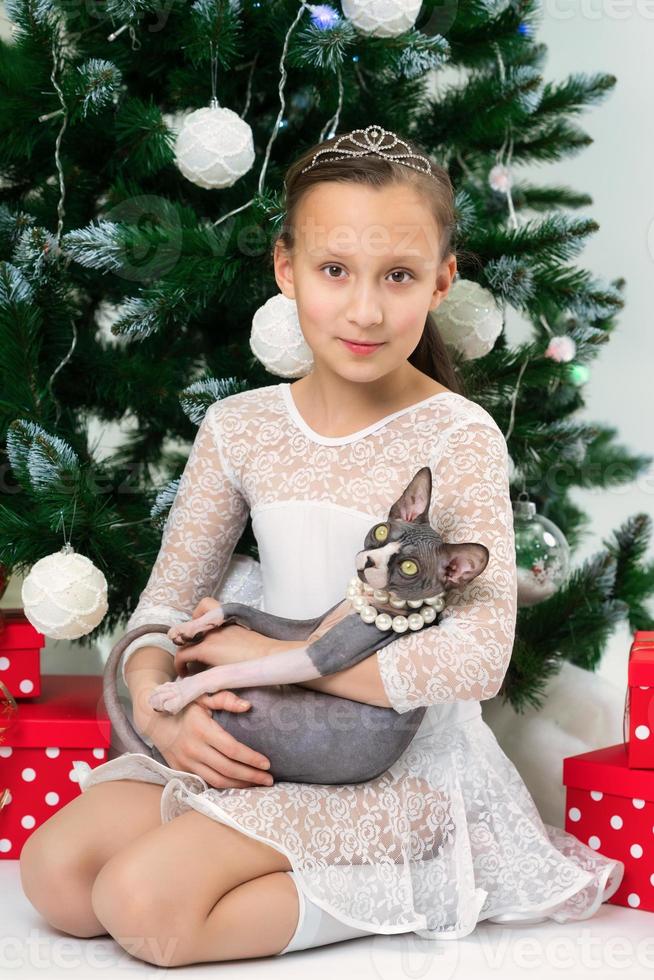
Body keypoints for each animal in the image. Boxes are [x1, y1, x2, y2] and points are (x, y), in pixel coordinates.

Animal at [104, 470, 492, 784]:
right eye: (381, 532)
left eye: (409, 567)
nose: (369, 561)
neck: (369, 602)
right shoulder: (303, 632)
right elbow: (240, 608)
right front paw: (196, 625)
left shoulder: (315, 654)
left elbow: (233, 668)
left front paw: (177, 692)